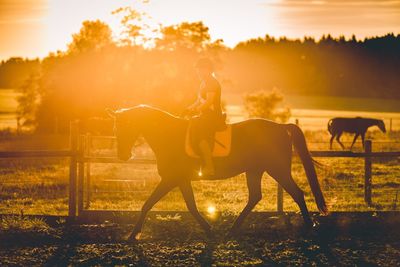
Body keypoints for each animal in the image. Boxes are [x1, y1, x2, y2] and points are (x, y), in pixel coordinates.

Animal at [107, 105, 328, 242]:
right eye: (116, 128)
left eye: (127, 126)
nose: (123, 155)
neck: (169, 136)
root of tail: (281, 127)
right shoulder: (181, 180)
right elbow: (190, 206)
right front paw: (209, 230)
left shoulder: (171, 179)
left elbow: (148, 204)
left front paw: (133, 235)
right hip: (255, 170)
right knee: (255, 197)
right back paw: (232, 230)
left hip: (277, 169)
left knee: (297, 193)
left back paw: (309, 227)